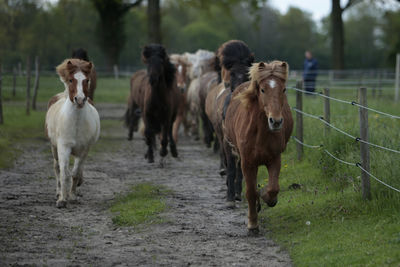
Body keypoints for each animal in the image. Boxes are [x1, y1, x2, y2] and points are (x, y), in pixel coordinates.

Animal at [45, 58, 100, 209]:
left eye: (87, 80)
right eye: (71, 80)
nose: (79, 99)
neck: (75, 124)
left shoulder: (84, 149)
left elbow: (75, 173)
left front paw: (73, 196)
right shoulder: (64, 147)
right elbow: (64, 173)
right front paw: (62, 200)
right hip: (54, 147)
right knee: (56, 167)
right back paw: (58, 192)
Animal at [223, 61, 292, 232]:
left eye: (283, 89)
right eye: (262, 89)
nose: (276, 121)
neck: (260, 133)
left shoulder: (275, 159)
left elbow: (273, 188)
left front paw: (266, 196)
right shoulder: (247, 162)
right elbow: (250, 192)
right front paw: (252, 223)